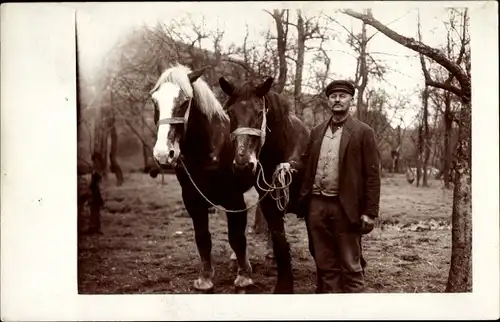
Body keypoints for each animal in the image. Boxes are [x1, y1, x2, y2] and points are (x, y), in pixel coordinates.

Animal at [220, 76, 310, 294]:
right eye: (230, 113)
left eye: (259, 113)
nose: (243, 164)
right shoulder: (270, 203)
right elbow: (279, 241)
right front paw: (284, 286)